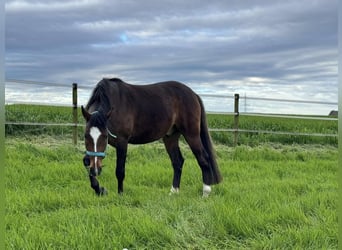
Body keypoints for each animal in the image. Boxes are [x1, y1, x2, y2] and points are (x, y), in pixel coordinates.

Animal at [82, 77, 223, 196]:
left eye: (105, 136)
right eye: (86, 136)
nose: (96, 171)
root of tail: (193, 94)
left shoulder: (122, 141)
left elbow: (120, 170)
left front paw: (120, 194)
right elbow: (86, 162)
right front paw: (99, 189)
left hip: (191, 134)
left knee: (203, 158)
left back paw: (205, 192)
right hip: (170, 137)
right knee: (177, 162)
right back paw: (174, 192)